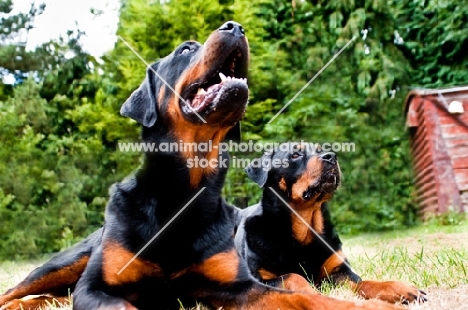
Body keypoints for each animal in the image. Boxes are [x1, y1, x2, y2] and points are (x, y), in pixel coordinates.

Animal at [0, 23, 404, 310]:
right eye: (185, 49)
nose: (235, 27)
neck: (184, 195)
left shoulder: (237, 286)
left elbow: (310, 295)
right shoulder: (95, 289)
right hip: (65, 263)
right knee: (18, 290)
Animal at [236, 143, 426, 306]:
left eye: (320, 149)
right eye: (295, 154)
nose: (331, 156)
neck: (305, 230)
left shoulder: (338, 271)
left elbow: (362, 282)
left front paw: (398, 288)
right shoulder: (258, 280)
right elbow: (293, 276)